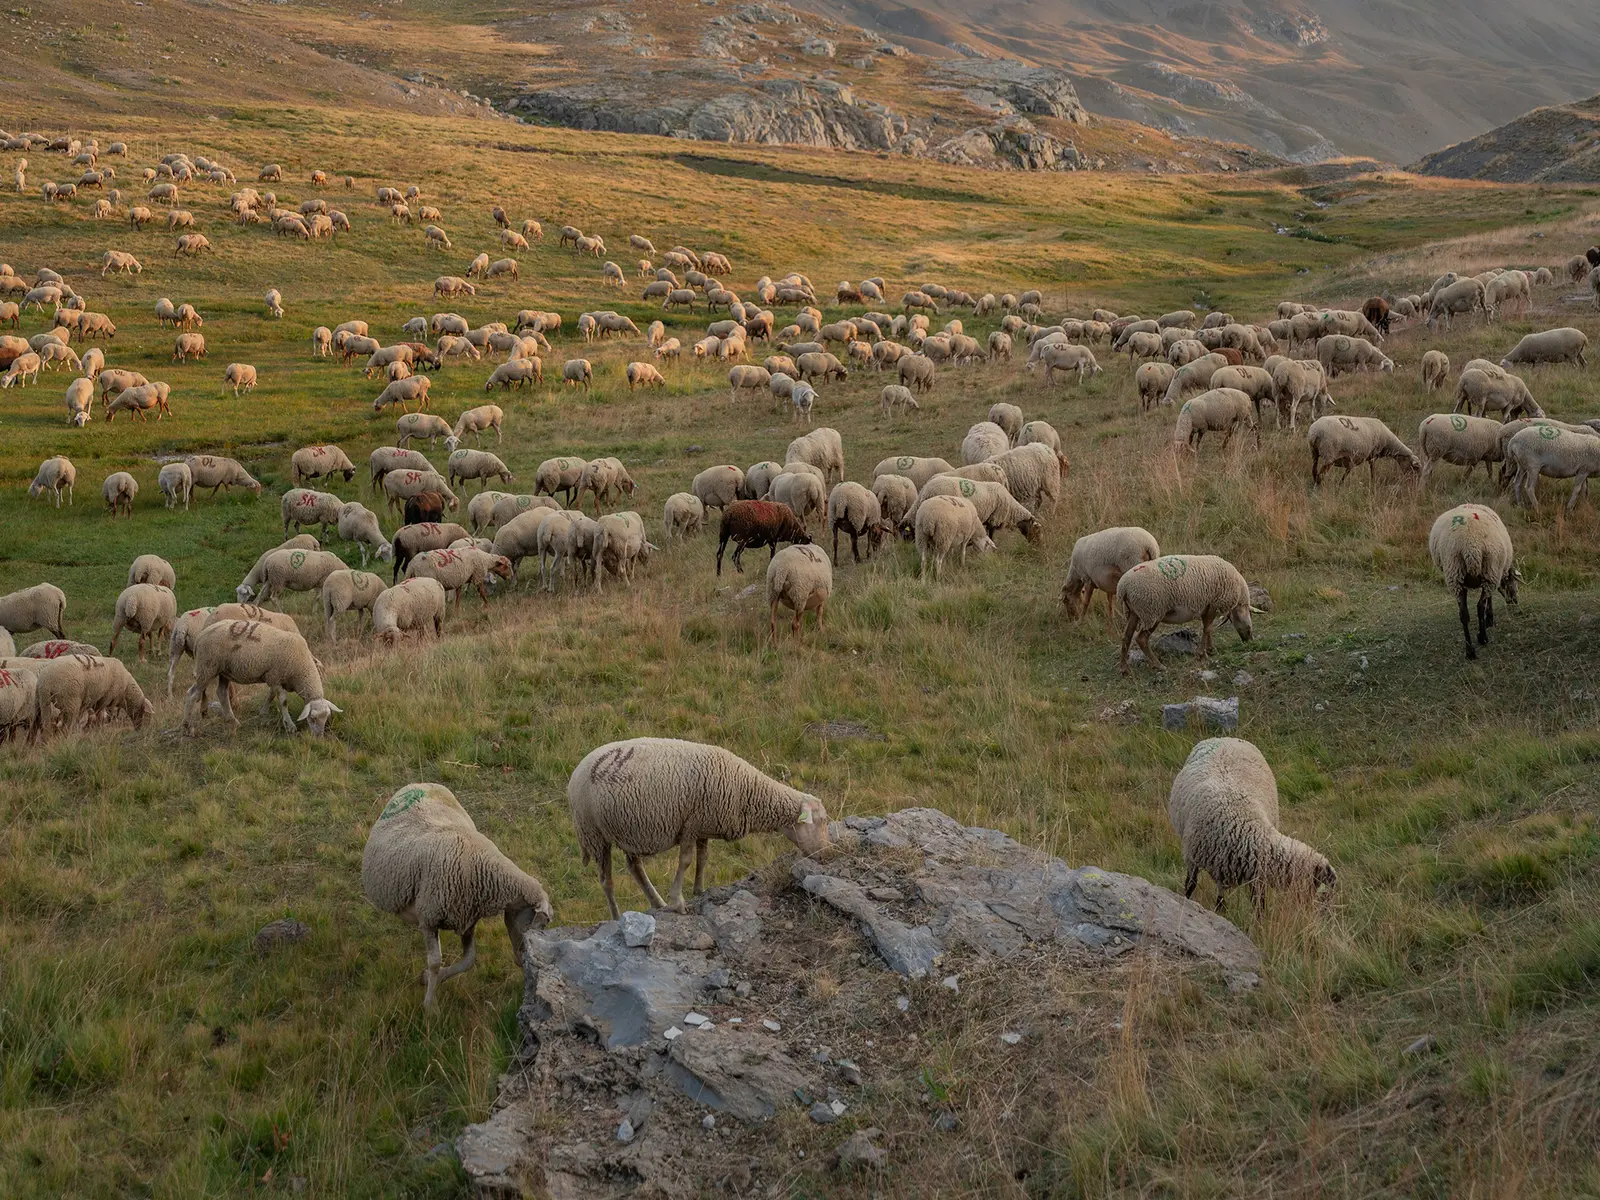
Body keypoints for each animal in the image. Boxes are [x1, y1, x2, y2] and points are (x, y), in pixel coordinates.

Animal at [183, 620, 340, 736]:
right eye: (312, 718)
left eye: (326, 717)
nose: (319, 737)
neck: (301, 669)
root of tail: (200, 636)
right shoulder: (275, 676)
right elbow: (283, 701)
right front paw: (289, 725)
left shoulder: (273, 677)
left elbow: (271, 695)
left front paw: (263, 715)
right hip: (207, 668)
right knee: (192, 694)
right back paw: (188, 727)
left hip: (223, 671)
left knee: (221, 692)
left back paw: (232, 721)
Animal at [568, 737, 829, 918]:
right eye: (822, 821)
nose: (826, 855)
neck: (746, 790)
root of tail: (576, 771)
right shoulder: (690, 825)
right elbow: (685, 861)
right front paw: (679, 902)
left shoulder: (704, 823)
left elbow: (703, 859)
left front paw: (699, 890)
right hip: (594, 834)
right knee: (607, 881)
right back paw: (617, 916)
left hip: (628, 830)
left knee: (635, 868)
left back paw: (657, 903)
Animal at [1169, 737, 1336, 914]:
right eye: (1324, 893)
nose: (1329, 916)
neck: (1246, 830)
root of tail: (1225, 738)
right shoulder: (1192, 857)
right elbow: (1190, 885)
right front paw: (1186, 903)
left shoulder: (1254, 875)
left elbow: (1258, 903)